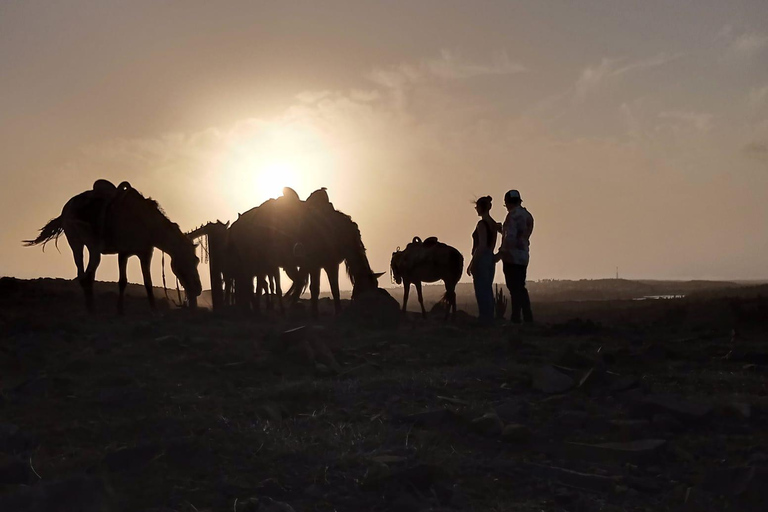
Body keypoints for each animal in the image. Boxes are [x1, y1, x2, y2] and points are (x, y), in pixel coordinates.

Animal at [25, 180, 201, 316]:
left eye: (197, 260)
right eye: (191, 260)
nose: (197, 289)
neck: (144, 221)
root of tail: (66, 209)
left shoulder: (145, 253)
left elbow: (148, 282)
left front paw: (154, 310)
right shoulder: (123, 253)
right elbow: (122, 281)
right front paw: (120, 311)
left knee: (88, 275)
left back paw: (91, 308)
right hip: (79, 244)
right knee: (84, 275)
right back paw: (91, 310)